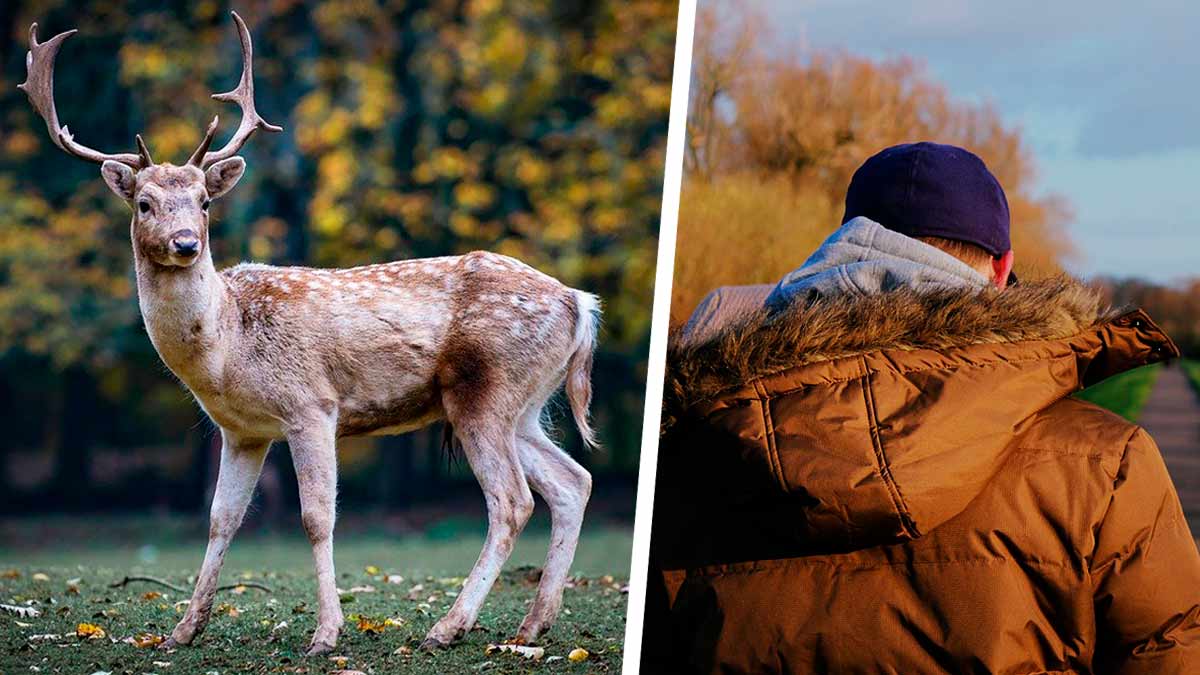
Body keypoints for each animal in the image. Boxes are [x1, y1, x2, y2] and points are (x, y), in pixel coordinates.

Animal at [18, 9, 600, 653]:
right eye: (144, 203)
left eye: (203, 201)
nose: (187, 243)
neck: (227, 350)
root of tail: (580, 303)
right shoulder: (242, 431)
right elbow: (221, 519)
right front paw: (182, 630)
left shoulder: (312, 405)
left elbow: (316, 518)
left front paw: (326, 633)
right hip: (525, 403)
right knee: (573, 481)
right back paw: (533, 624)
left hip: (486, 389)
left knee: (513, 501)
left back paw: (447, 628)